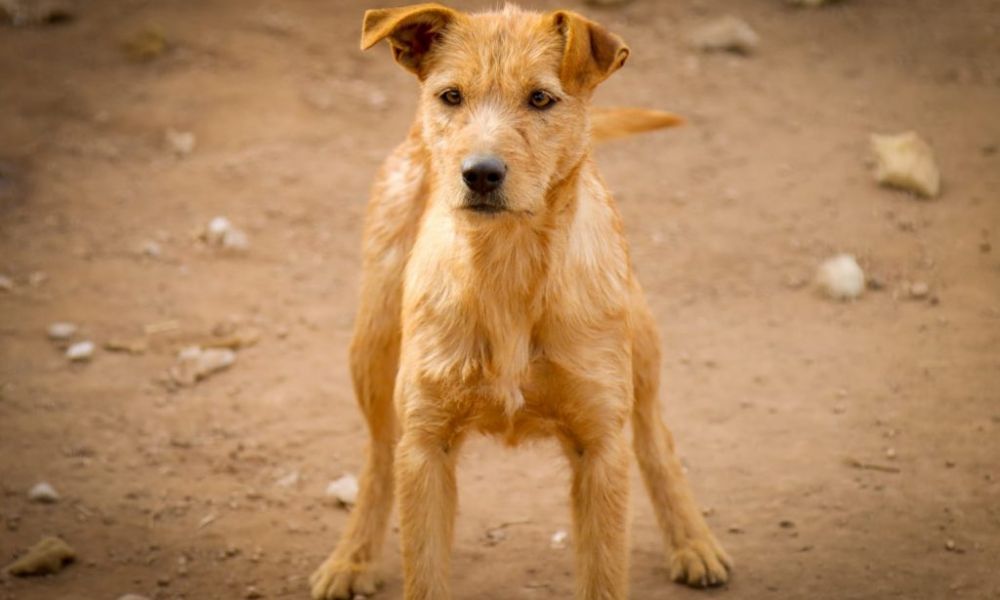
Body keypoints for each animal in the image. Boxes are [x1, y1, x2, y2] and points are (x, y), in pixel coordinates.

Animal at [308, 4, 732, 600]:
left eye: (540, 99)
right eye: (451, 96)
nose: (481, 174)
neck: (506, 267)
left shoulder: (600, 448)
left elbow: (604, 573)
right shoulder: (426, 447)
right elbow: (424, 570)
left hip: (642, 345)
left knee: (657, 440)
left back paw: (693, 540)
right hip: (371, 345)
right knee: (377, 457)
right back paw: (352, 557)